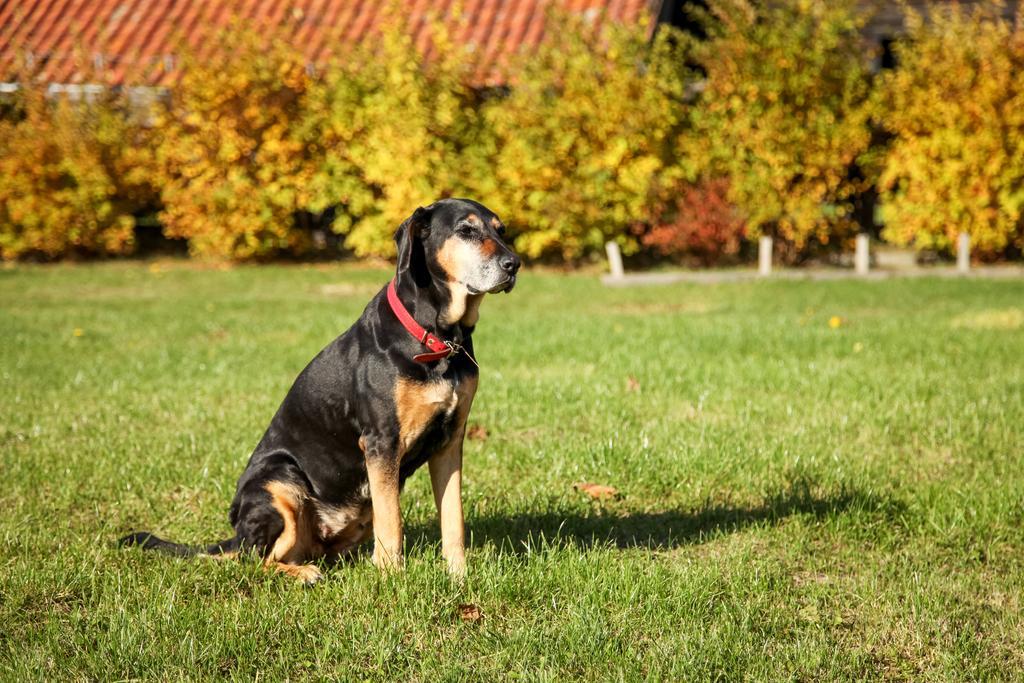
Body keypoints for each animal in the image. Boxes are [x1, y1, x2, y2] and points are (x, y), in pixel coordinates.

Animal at [119, 200, 520, 585]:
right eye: (466, 230)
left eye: (501, 230)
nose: (514, 264)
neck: (438, 338)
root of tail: (235, 537)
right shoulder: (381, 443)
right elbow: (393, 523)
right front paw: (392, 579)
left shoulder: (449, 442)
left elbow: (453, 519)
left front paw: (458, 575)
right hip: (279, 485)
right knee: (257, 561)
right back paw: (303, 574)